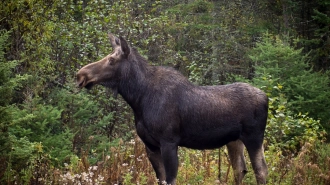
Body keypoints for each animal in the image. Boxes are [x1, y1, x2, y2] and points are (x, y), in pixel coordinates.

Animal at [77, 34, 268, 184]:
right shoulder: (150, 146)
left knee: (261, 171)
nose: (80, 75)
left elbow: (170, 180)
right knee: (240, 170)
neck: (138, 99)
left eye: (111, 60)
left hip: (254, 137)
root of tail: (266, 97)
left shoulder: (169, 141)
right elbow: (160, 179)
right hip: (234, 140)